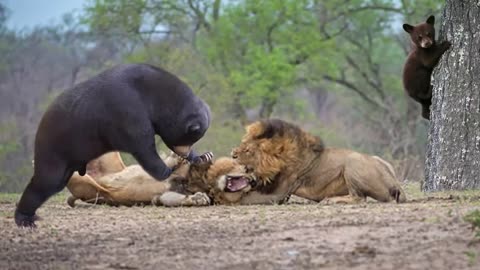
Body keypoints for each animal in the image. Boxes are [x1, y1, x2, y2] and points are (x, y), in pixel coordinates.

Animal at [15, 63, 210, 228]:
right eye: (190, 136)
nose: (185, 154)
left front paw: (201, 157)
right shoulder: (128, 111)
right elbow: (142, 145)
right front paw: (168, 170)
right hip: (57, 146)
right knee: (47, 181)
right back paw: (25, 218)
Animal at [66, 152, 256, 207]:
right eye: (246, 169)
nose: (253, 180)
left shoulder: (162, 196)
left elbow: (170, 198)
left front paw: (198, 199)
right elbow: (171, 163)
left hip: (88, 187)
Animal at [229, 119, 404, 204]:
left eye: (248, 150)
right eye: (242, 143)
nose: (232, 154)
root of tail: (394, 181)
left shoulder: (278, 193)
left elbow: (246, 199)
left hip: (352, 161)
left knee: (359, 198)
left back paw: (330, 200)